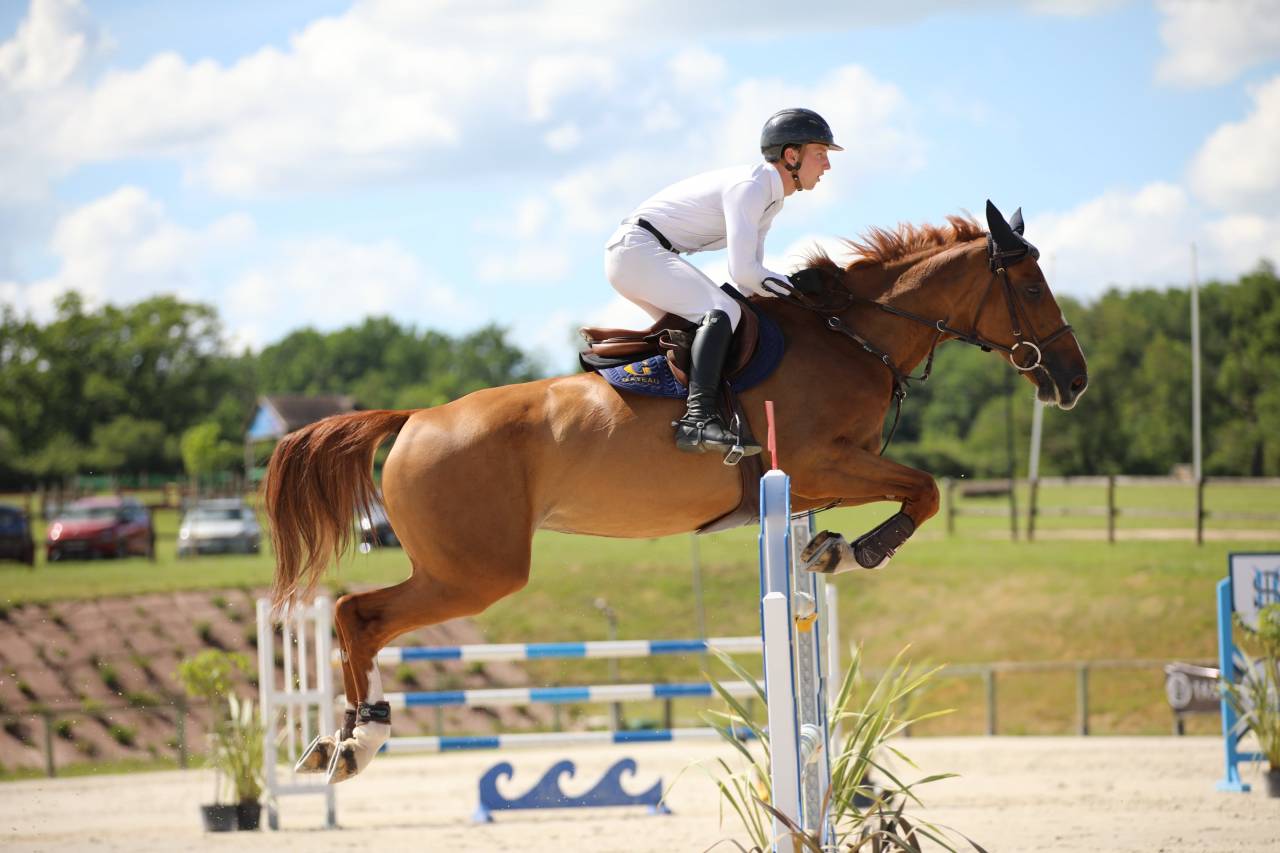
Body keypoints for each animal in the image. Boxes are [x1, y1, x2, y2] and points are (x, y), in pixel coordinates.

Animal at [264, 201, 1088, 782]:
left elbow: (911, 495)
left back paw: (343, 741)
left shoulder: (822, 476)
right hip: (477, 571)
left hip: (456, 566)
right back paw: (359, 739)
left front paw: (829, 546)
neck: (853, 337)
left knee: (355, 614)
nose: (1074, 379)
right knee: (359, 614)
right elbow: (927, 491)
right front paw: (857, 550)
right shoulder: (819, 461)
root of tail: (414, 418)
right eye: (1032, 284)